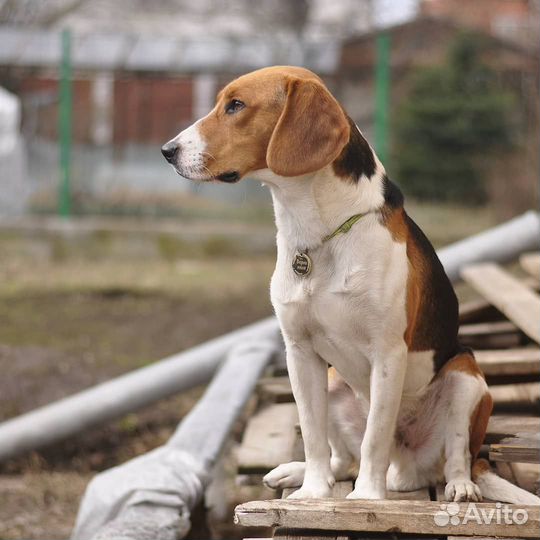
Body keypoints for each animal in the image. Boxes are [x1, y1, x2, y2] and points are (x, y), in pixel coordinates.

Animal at [161, 65, 540, 504]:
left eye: (236, 106)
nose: (167, 150)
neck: (317, 234)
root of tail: (405, 469)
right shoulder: (300, 353)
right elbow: (312, 434)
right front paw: (312, 492)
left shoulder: (388, 354)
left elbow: (375, 437)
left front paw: (367, 499)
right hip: (333, 382)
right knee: (342, 459)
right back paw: (298, 474)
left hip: (467, 378)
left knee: (457, 456)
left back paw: (460, 486)